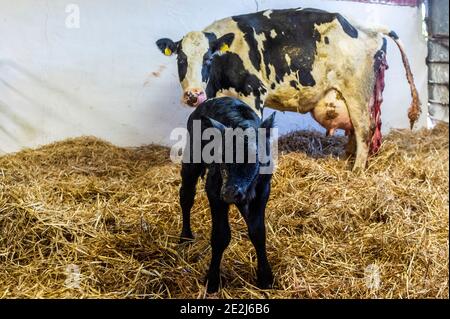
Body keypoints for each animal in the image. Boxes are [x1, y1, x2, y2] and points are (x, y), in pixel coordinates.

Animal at [156, 7, 420, 172]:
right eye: (181, 59)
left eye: (208, 58)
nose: (193, 95)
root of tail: (368, 27)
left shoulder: (253, 94)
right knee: (356, 131)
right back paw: (348, 158)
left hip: (357, 92)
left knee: (364, 129)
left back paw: (356, 170)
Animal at [178, 97, 274, 296]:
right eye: (221, 156)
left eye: (254, 157)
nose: (230, 192)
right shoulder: (215, 190)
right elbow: (220, 236)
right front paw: (212, 280)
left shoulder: (263, 189)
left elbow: (258, 232)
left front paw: (265, 277)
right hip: (191, 160)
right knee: (186, 196)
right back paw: (185, 236)